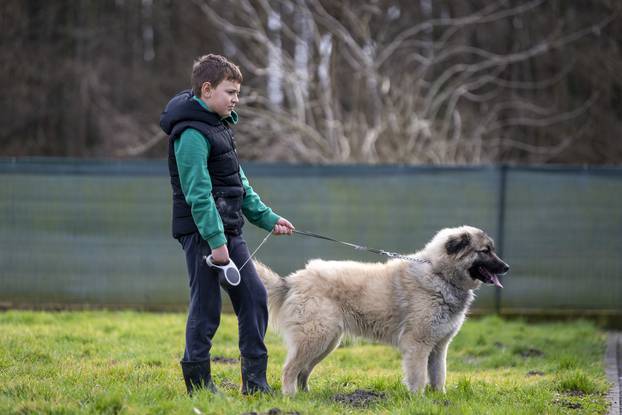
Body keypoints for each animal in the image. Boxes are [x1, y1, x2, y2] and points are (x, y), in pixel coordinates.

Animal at [255, 226, 512, 394]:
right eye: (485, 251)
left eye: (491, 249)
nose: (507, 267)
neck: (438, 273)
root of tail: (293, 280)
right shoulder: (418, 345)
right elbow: (419, 377)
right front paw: (418, 400)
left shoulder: (439, 347)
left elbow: (439, 376)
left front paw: (440, 399)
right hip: (316, 338)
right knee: (289, 370)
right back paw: (290, 398)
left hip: (327, 342)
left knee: (302, 371)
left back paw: (306, 396)